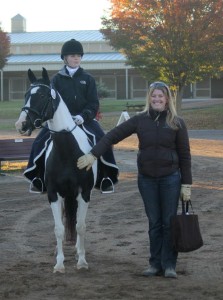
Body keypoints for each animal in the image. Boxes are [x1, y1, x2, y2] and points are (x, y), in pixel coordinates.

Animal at [14, 67, 96, 272]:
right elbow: (58, 228)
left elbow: (81, 226)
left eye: (42, 95)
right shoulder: (53, 193)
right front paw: (59, 263)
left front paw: (82, 261)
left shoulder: (84, 192)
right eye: (26, 94)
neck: (67, 150)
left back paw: (77, 250)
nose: (21, 125)